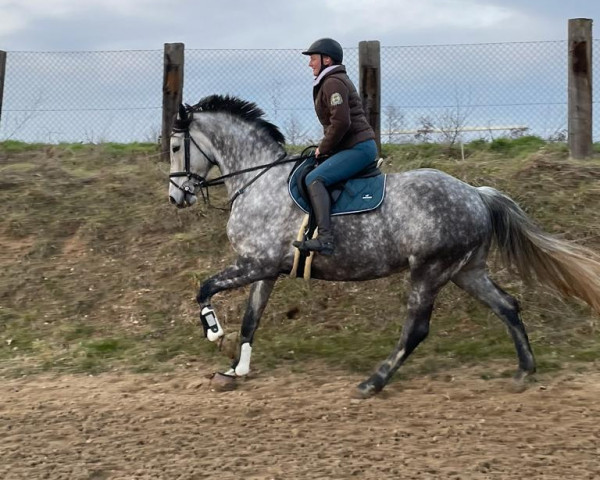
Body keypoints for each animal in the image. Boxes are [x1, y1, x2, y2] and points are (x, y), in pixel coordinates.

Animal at [166, 94, 600, 398]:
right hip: (465, 271)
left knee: (417, 329)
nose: (176, 197)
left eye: (173, 147)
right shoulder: (265, 268)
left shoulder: (255, 263)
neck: (258, 181)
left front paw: (213, 333)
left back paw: (373, 382)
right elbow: (250, 319)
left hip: (429, 270)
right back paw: (524, 370)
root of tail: (476, 194)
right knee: (507, 306)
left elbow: (205, 289)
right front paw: (235, 370)